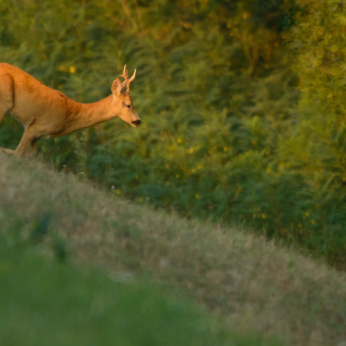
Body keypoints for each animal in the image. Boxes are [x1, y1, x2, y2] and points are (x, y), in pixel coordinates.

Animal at [0, 63, 141, 157]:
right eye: (128, 105)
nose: (138, 120)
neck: (69, 116)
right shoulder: (35, 126)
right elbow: (17, 154)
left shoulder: (37, 134)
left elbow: (27, 157)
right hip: (5, 101)